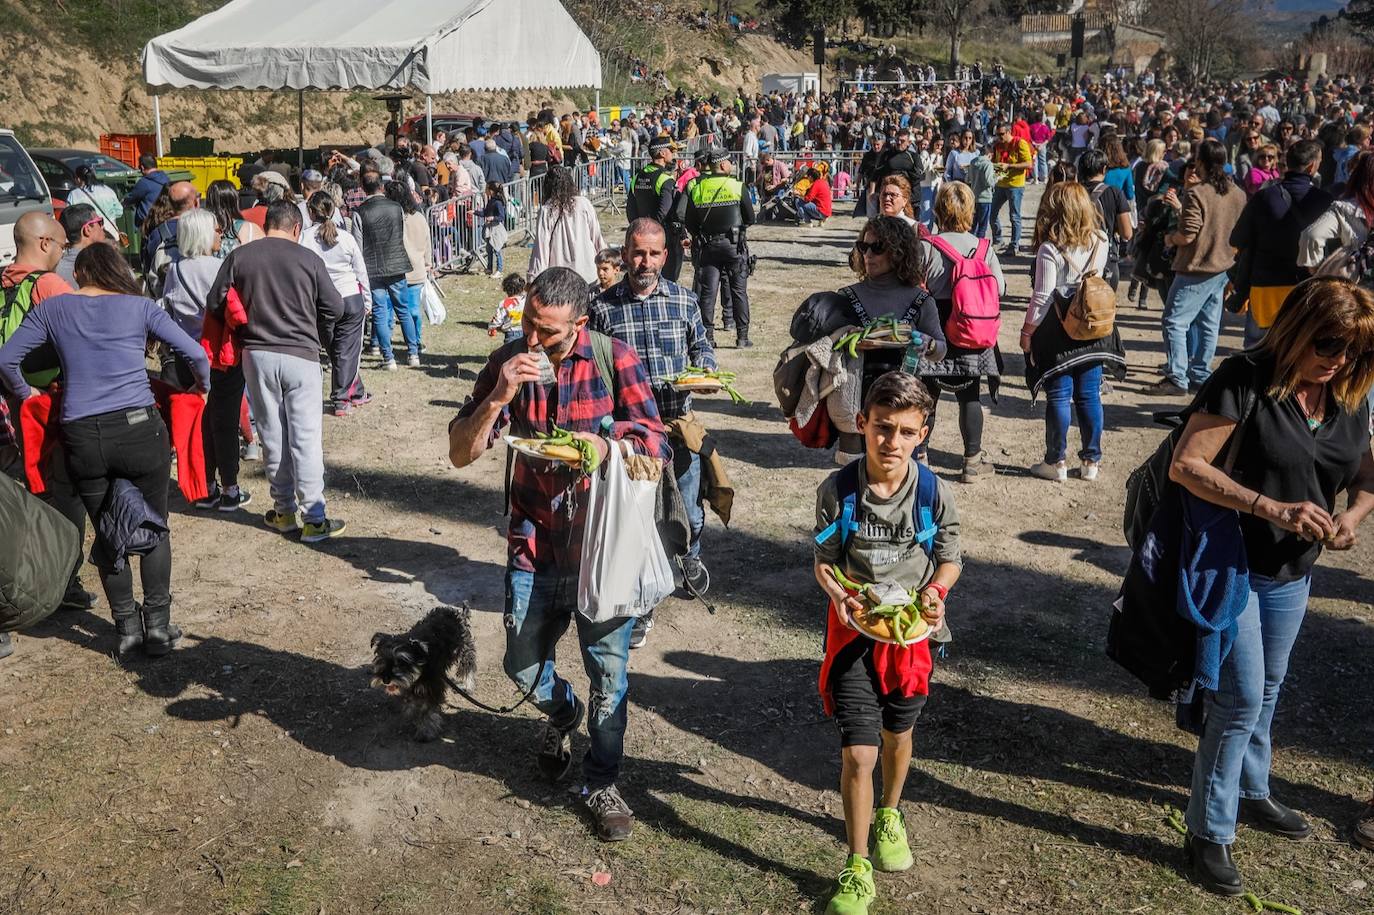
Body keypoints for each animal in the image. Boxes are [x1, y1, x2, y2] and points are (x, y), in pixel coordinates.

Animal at [370, 601, 478, 736]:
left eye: (402, 662)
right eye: (382, 659)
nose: (386, 680)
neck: (422, 656)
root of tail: (457, 613)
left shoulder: (434, 686)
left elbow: (428, 710)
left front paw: (426, 730)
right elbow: (410, 700)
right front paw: (409, 712)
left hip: (464, 649)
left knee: (468, 666)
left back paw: (468, 686)